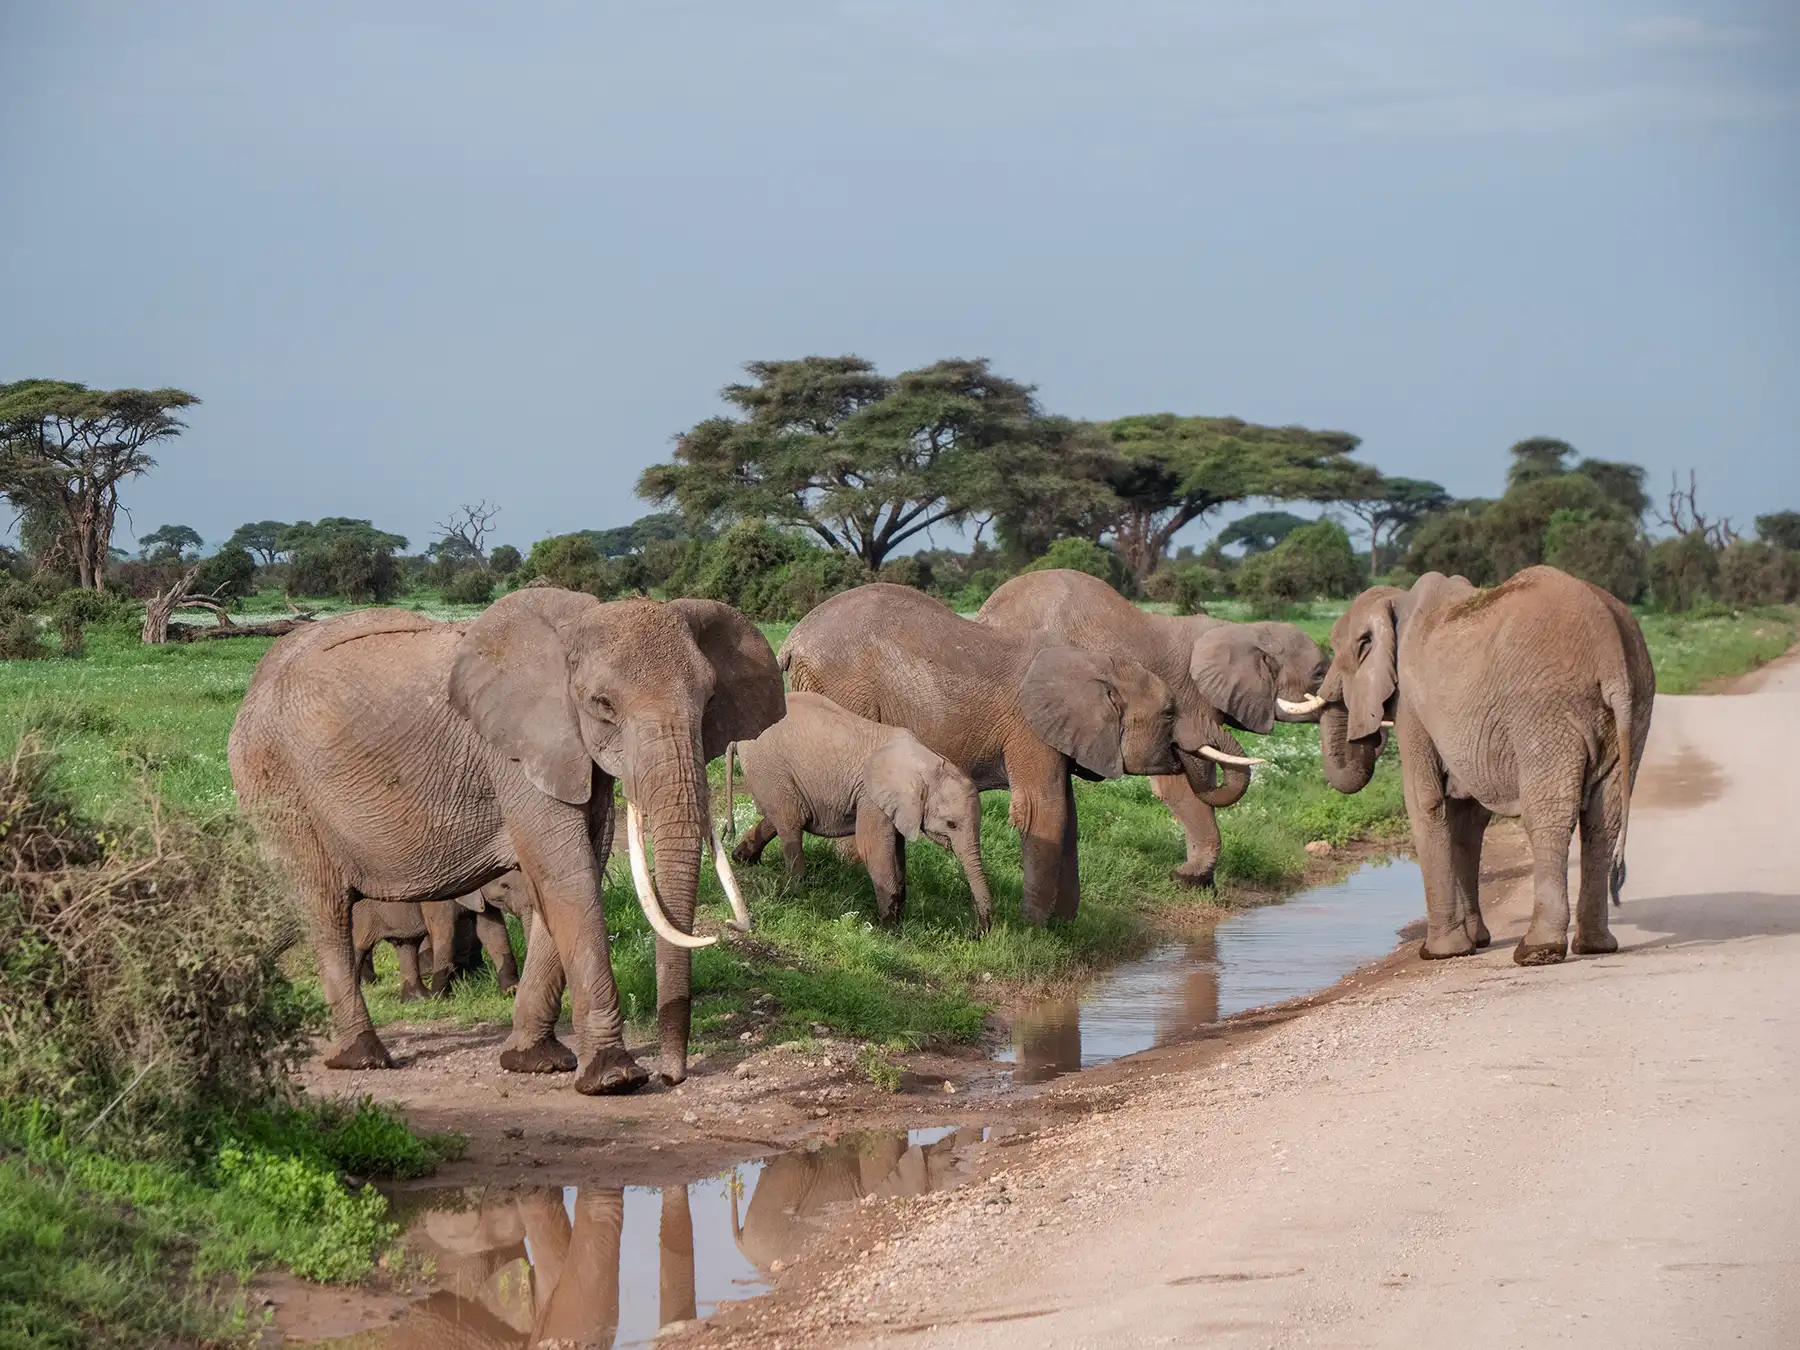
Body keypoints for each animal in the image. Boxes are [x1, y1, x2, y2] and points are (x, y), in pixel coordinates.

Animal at [352, 896, 519, 1000]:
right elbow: (444, 934)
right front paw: (441, 997)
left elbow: (490, 927)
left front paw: (511, 991)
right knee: (359, 946)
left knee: (407, 944)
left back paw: (419, 998)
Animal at [724, 691, 993, 933]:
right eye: (951, 824)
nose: (979, 932)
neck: (931, 763)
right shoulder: (871, 797)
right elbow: (874, 849)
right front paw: (888, 930)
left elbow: (897, 851)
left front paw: (896, 922)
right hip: (769, 765)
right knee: (791, 823)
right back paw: (798, 889)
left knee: (783, 817)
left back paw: (741, 859)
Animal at [779, 583, 1248, 922]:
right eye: (1170, 713)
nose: (1178, 876)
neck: (1096, 664)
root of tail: (793, 639)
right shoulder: (1030, 729)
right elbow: (1043, 811)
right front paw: (1034, 928)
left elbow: (1066, 816)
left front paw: (1063, 925)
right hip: (844, 690)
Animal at [978, 568, 1328, 886]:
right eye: (1320, 674)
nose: (1175, 873)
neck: (1240, 630)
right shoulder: (1193, 696)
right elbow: (1186, 785)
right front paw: (1190, 879)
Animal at [1317, 567, 1654, 964]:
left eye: (1341, 653)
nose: (1372, 737)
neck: (1396, 602)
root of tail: (1610, 649)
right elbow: (1466, 815)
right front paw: (1475, 942)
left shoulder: (1411, 706)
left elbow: (1425, 802)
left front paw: (1438, 953)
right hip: (1635, 707)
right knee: (1605, 817)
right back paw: (1595, 946)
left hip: (1545, 709)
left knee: (1548, 814)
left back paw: (1537, 951)